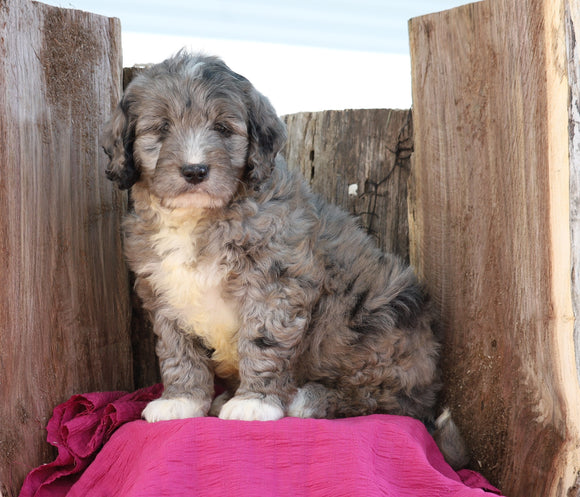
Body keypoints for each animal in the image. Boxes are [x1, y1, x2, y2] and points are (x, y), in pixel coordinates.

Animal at [103, 51, 466, 468]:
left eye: (223, 129)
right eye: (160, 129)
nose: (195, 171)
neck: (201, 217)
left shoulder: (274, 284)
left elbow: (263, 342)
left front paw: (255, 402)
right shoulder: (163, 290)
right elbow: (178, 350)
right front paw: (181, 400)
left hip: (381, 327)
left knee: (388, 400)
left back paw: (307, 398)